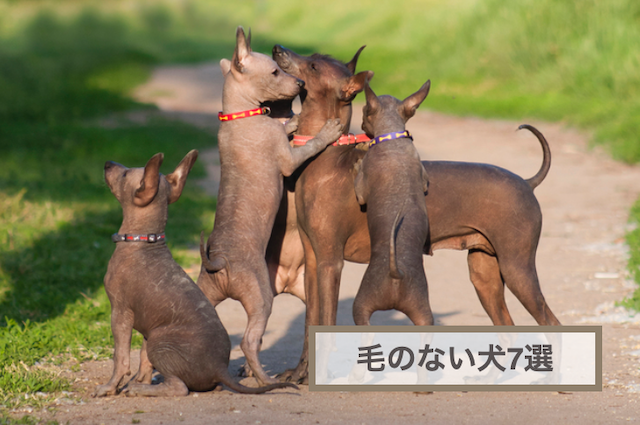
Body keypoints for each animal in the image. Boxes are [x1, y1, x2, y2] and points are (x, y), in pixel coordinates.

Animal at [95, 151, 298, 396]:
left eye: (125, 174)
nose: (107, 163)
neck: (142, 241)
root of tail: (220, 369)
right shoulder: (146, 324)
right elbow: (142, 359)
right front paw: (142, 379)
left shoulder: (120, 312)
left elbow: (121, 358)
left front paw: (110, 387)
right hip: (156, 336)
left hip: (159, 341)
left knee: (179, 387)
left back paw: (140, 389)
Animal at [196, 26, 344, 384]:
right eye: (276, 72)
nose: (301, 83)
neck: (239, 115)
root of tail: (218, 263)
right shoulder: (288, 160)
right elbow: (308, 145)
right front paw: (323, 129)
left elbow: (286, 125)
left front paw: (291, 122)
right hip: (261, 296)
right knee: (249, 341)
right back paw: (268, 381)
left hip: (201, 296)